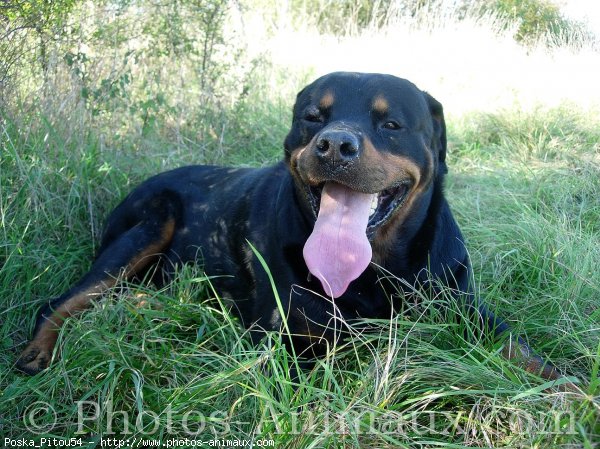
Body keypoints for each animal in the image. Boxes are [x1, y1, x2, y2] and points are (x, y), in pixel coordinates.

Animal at [17, 72, 564, 380]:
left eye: (391, 124)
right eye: (312, 116)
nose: (335, 145)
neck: (379, 267)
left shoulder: (466, 309)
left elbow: (528, 353)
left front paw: (571, 393)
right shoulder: (284, 342)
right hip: (148, 225)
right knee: (63, 301)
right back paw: (37, 353)